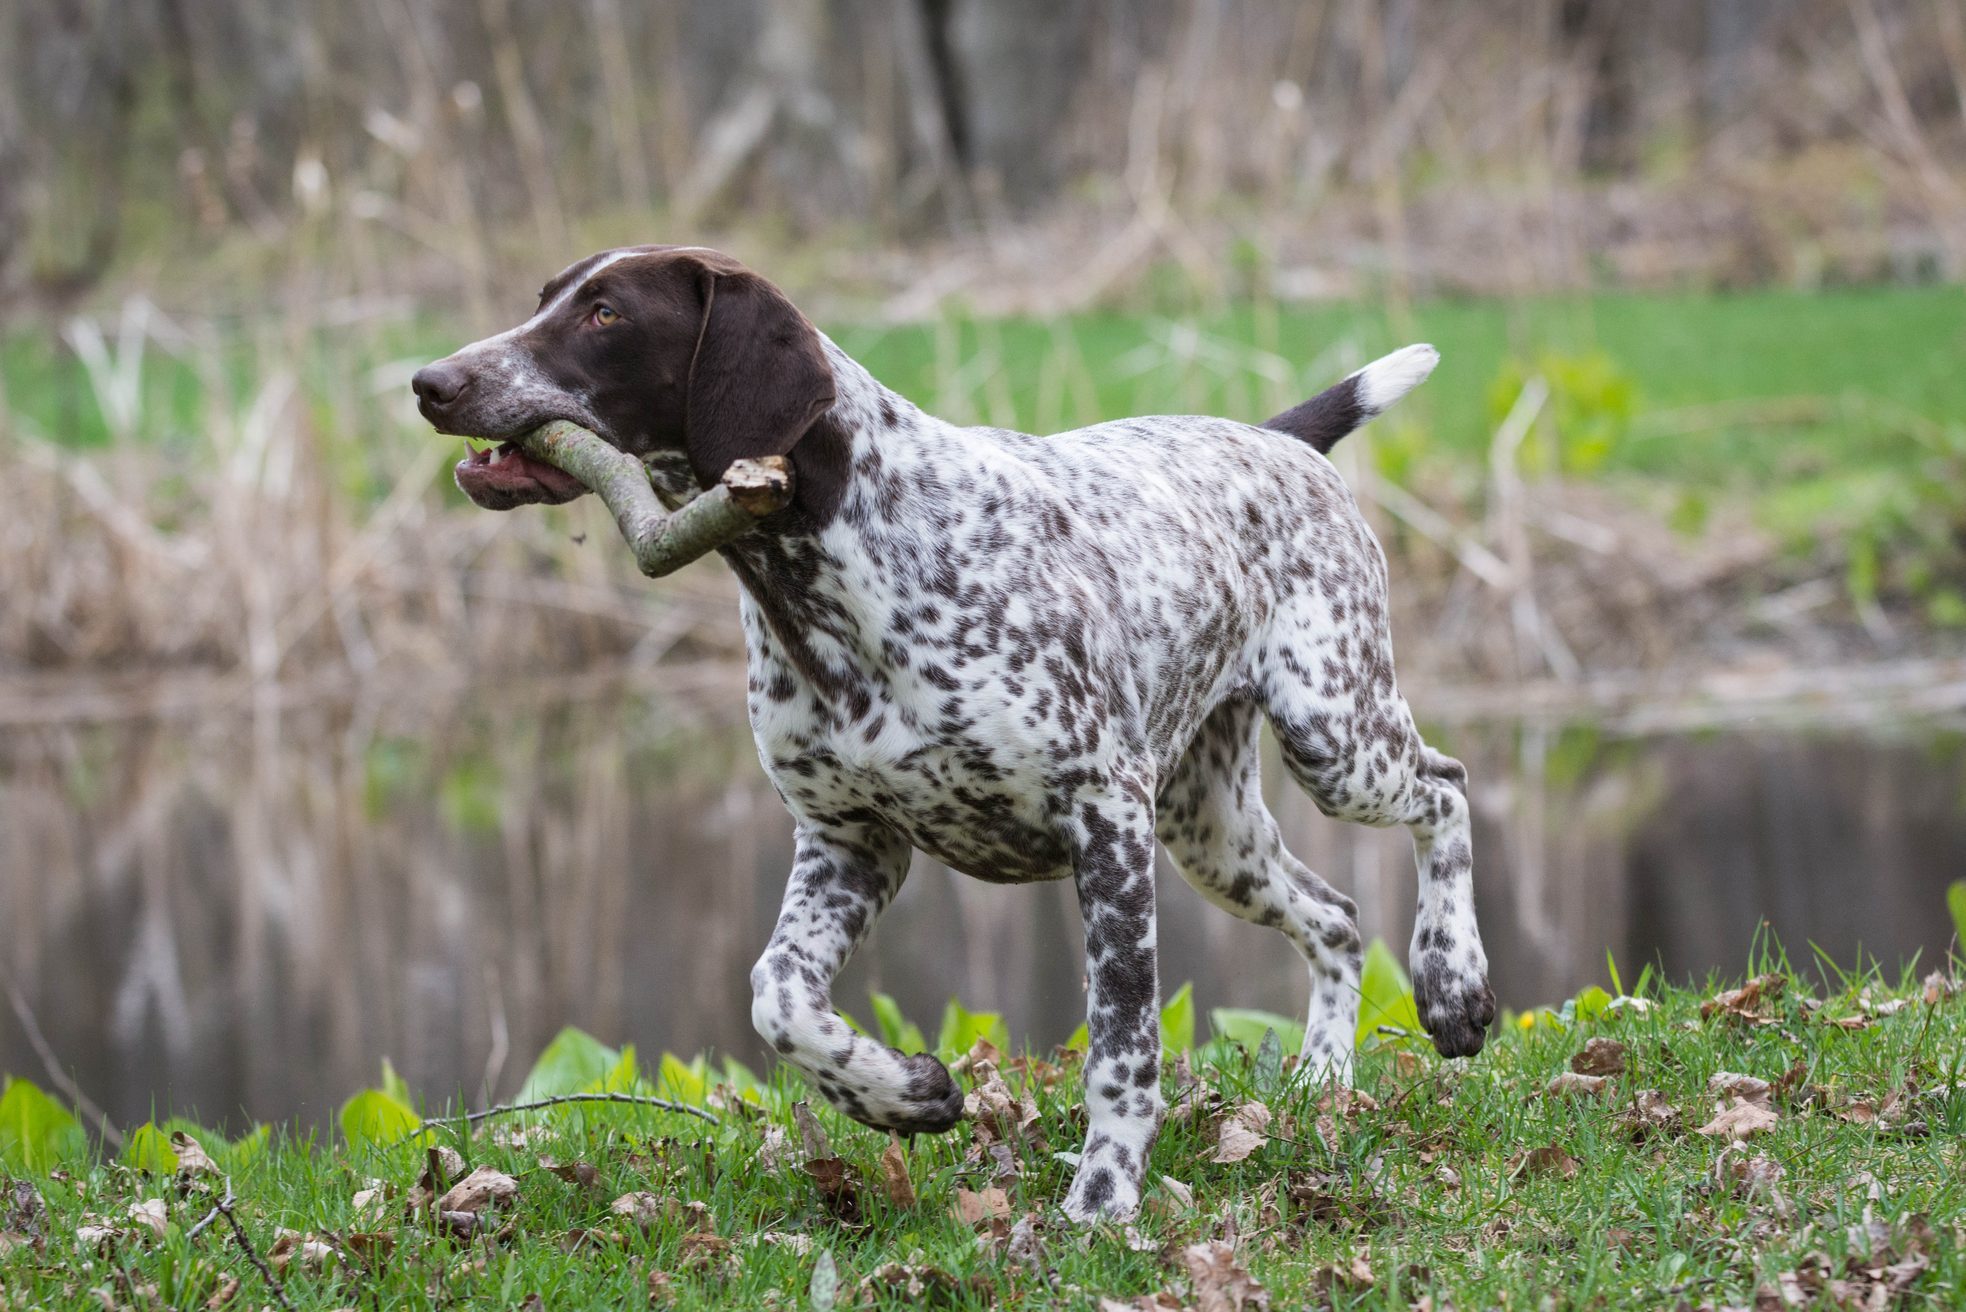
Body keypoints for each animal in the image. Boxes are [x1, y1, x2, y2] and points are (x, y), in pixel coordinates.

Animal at [414, 245, 1486, 1219]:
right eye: (545, 297)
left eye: (606, 314)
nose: (432, 383)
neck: (833, 567)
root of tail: (1276, 439)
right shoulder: (850, 842)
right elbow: (778, 996)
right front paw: (900, 1095)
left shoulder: (1105, 822)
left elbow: (1122, 1045)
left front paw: (1103, 1201)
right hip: (1210, 830)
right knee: (1336, 917)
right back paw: (1325, 1082)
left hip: (1331, 736)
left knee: (1446, 790)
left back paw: (1453, 983)